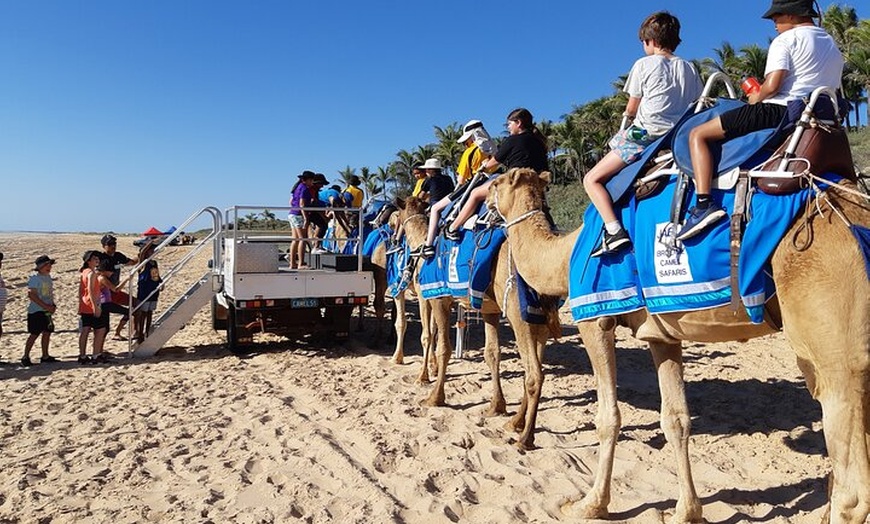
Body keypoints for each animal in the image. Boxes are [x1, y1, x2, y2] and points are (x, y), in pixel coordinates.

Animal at [394, 194, 564, 440]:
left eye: (394, 216)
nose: (394, 236)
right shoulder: (488, 309)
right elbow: (491, 353)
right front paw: (496, 406)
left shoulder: (436, 297)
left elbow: (439, 344)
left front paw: (432, 393)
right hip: (539, 316)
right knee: (534, 367)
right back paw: (515, 422)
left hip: (518, 314)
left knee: (534, 372)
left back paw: (525, 437)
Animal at [490, 169, 870, 524]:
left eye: (494, 184)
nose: (483, 204)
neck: (564, 255)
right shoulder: (661, 336)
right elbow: (676, 420)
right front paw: (687, 511)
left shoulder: (594, 318)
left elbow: (608, 417)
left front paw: (591, 504)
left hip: (834, 340)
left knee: (852, 493)